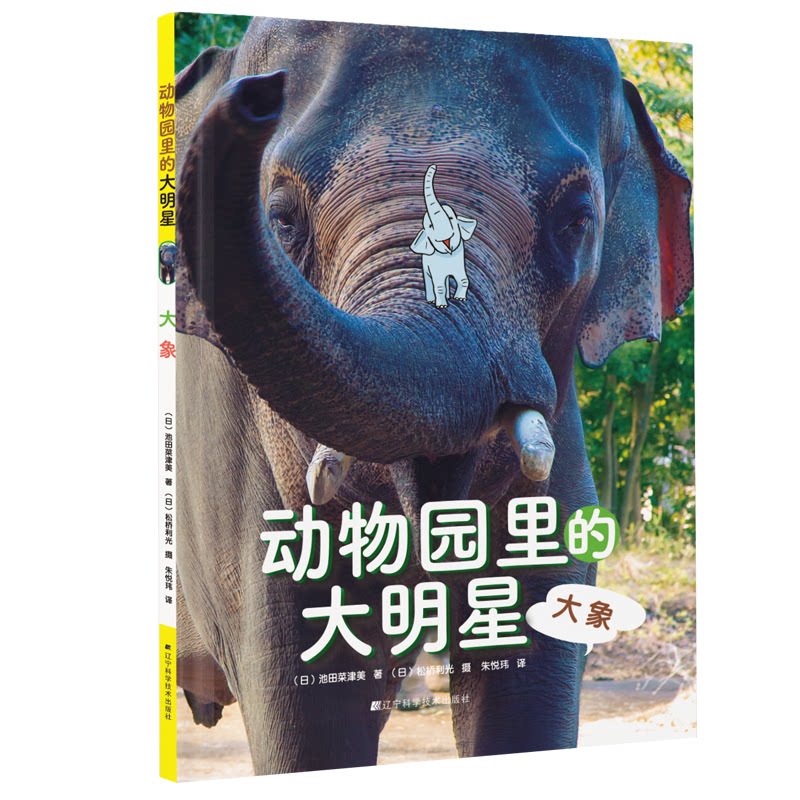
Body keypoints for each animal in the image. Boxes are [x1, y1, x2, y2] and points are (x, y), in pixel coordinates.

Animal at [411, 164, 478, 307]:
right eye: (430, 226)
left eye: (451, 218)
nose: (433, 166)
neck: (448, 255)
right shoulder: (435, 268)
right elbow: (439, 286)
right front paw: (441, 305)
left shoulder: (459, 262)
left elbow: (464, 279)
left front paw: (460, 299)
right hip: (425, 266)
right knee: (430, 282)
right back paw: (432, 300)